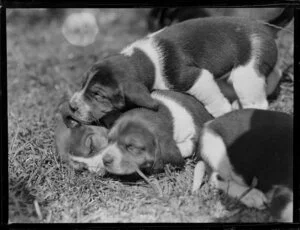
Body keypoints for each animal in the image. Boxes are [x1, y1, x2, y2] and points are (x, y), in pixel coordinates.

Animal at [65, 16, 282, 127]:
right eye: (82, 84)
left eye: (98, 95)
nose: (71, 107)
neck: (145, 60)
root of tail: (265, 27)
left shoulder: (194, 78)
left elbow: (214, 100)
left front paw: (222, 113)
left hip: (246, 75)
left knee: (257, 100)